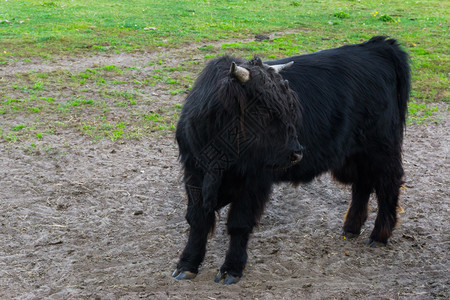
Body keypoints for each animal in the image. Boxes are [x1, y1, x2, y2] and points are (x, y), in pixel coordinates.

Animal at [172, 36, 412, 284]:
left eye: (290, 108)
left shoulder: (254, 180)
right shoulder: (194, 173)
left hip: (382, 148)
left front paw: (232, 268)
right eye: (263, 111)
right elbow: (198, 220)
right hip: (357, 153)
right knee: (363, 184)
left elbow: (239, 224)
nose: (296, 153)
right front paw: (187, 264)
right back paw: (351, 228)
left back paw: (379, 235)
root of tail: (377, 46)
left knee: (388, 185)